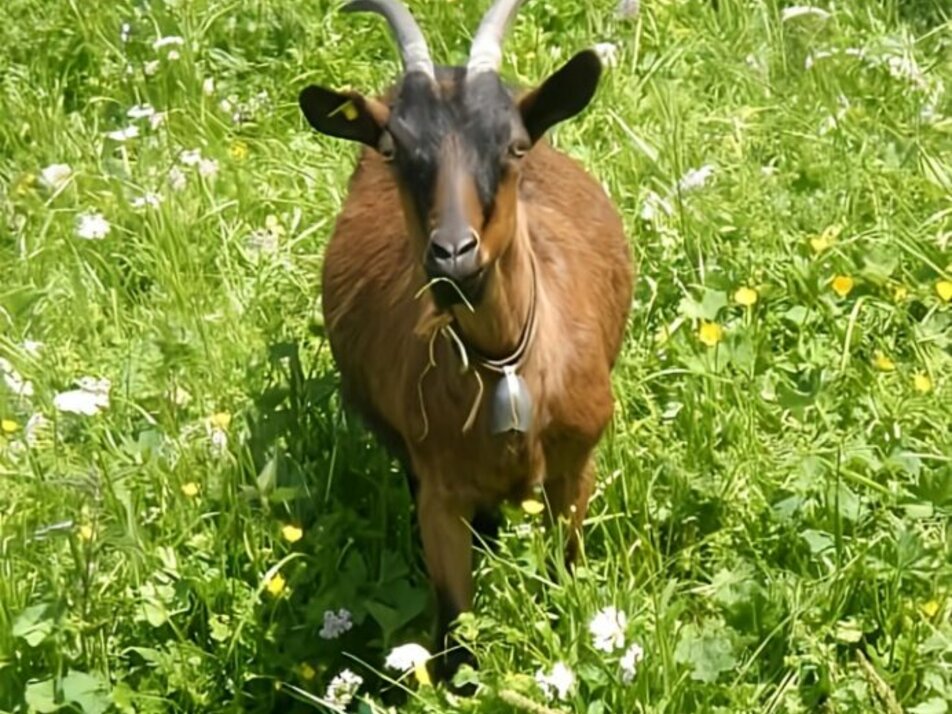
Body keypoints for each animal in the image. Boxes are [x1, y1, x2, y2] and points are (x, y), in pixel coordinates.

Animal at [302, 0, 636, 680]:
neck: (505, 364)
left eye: (514, 145)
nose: (453, 254)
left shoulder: (576, 465)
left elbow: (568, 575)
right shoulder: (438, 492)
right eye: (393, 149)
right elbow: (456, 635)